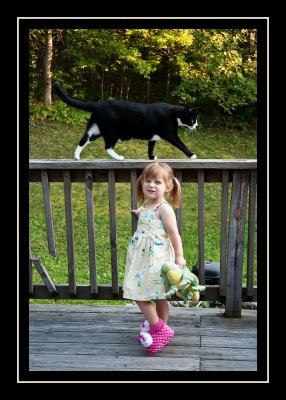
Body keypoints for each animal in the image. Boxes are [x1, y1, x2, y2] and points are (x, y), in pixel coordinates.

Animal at [52, 81, 198, 161]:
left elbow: (150, 147)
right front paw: (191, 155)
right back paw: (119, 157)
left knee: (84, 139)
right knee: (108, 147)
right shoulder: (171, 135)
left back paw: (76, 156)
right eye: (192, 119)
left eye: (196, 120)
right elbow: (181, 144)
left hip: (95, 130)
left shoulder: (153, 137)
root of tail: (98, 105)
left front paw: (151, 157)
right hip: (112, 131)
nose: (196, 126)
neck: (174, 114)